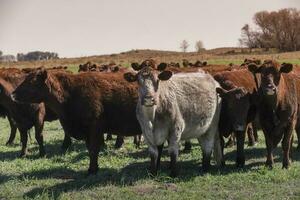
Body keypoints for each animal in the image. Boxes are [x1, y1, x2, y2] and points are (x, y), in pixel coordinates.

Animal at [12, 68, 141, 174]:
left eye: (32, 82)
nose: (13, 94)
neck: (70, 93)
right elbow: (90, 150)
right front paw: (94, 168)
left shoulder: (94, 129)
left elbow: (93, 149)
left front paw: (92, 170)